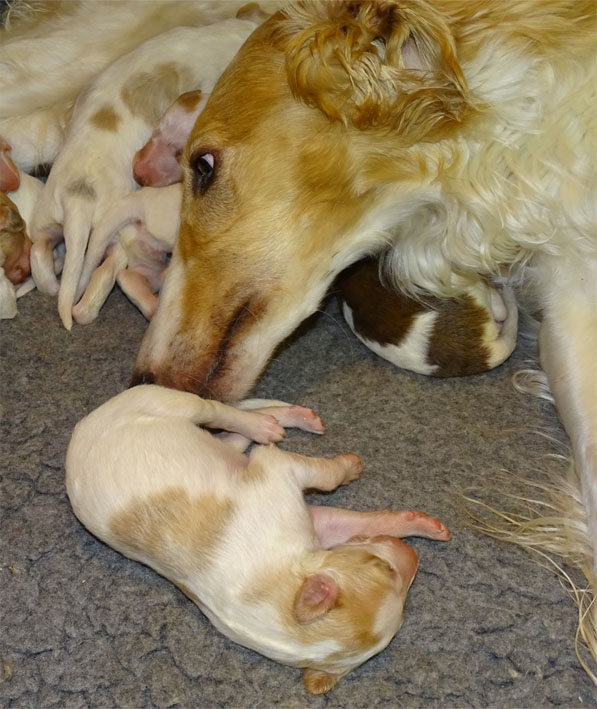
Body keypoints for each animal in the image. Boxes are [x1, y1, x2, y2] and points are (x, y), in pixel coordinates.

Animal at [65, 384, 450, 694]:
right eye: (384, 569)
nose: (414, 557)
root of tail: (82, 426)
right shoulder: (281, 474)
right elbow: (329, 478)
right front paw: (351, 465)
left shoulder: (315, 523)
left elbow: (367, 522)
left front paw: (427, 527)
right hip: (171, 403)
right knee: (225, 414)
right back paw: (268, 426)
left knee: (231, 432)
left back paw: (284, 421)